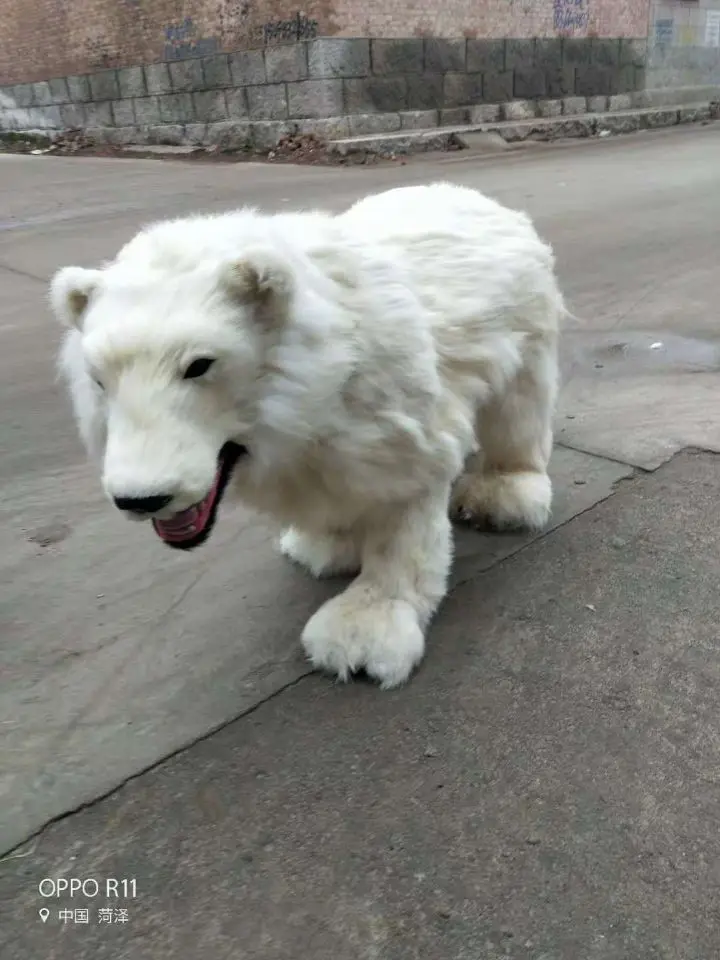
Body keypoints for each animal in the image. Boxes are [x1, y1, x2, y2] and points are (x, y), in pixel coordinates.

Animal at [49, 182, 564, 689]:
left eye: (199, 364)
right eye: (98, 378)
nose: (142, 498)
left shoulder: (399, 416)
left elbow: (403, 512)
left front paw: (363, 637)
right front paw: (324, 546)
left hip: (527, 323)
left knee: (518, 409)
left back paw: (504, 495)